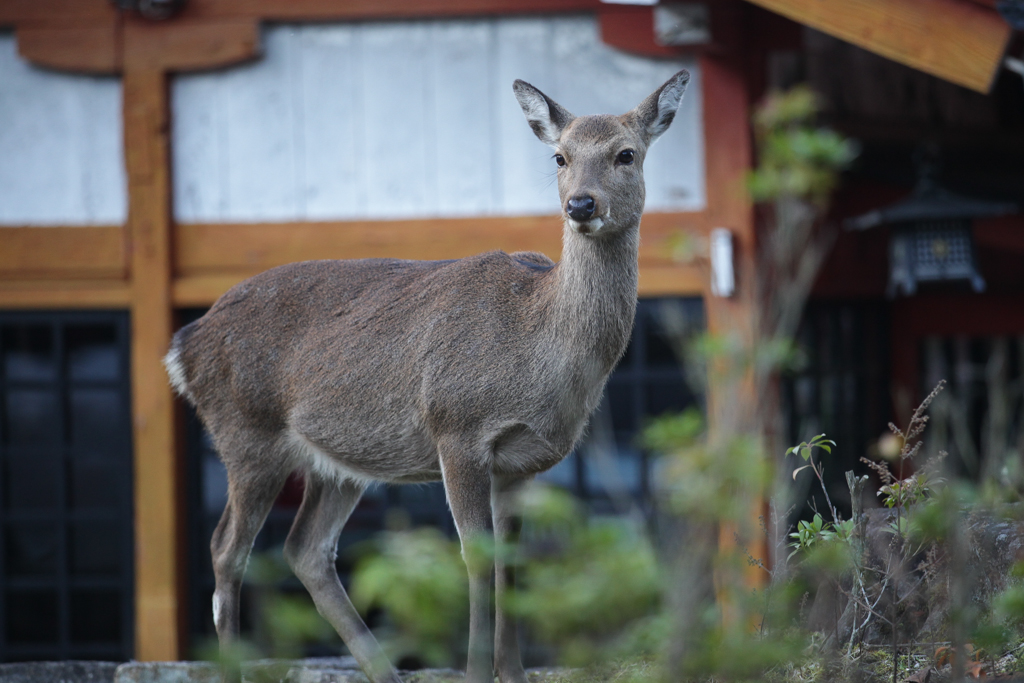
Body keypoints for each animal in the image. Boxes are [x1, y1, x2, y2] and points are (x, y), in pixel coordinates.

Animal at [163, 70, 692, 683]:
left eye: (626, 154)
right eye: (559, 156)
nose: (581, 204)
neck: (539, 350)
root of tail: (184, 345)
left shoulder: (525, 462)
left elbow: (511, 565)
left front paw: (511, 672)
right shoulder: (457, 427)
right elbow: (477, 558)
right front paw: (477, 670)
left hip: (337, 461)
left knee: (306, 549)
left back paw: (383, 670)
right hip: (244, 430)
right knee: (227, 548)